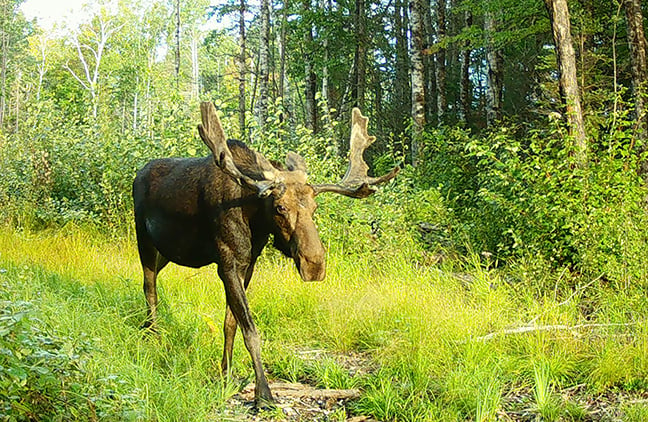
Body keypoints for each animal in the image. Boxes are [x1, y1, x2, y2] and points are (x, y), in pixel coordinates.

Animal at [133, 101, 400, 406]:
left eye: (314, 207)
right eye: (280, 207)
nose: (315, 265)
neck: (254, 216)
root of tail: (138, 173)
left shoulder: (247, 264)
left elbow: (230, 323)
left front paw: (226, 374)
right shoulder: (226, 263)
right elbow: (250, 329)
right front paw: (263, 392)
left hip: (165, 252)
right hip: (144, 240)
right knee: (149, 289)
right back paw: (153, 335)